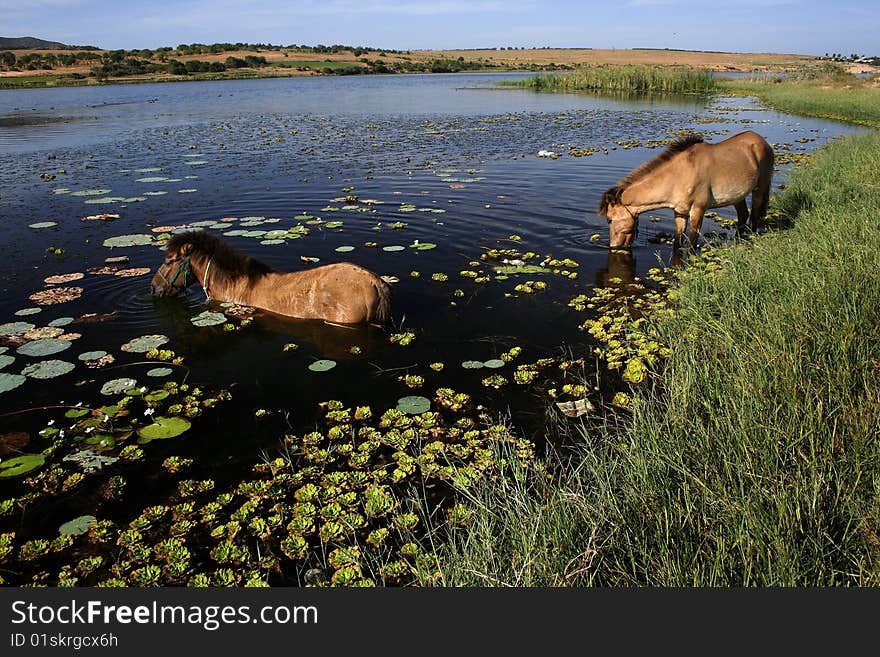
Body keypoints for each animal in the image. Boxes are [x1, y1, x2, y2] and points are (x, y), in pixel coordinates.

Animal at [600, 129, 768, 247]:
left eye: (609, 219)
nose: (613, 246)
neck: (679, 175)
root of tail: (760, 140)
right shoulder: (679, 213)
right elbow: (677, 244)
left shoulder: (698, 211)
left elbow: (692, 245)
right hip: (737, 197)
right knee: (743, 215)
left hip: (759, 189)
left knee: (754, 217)